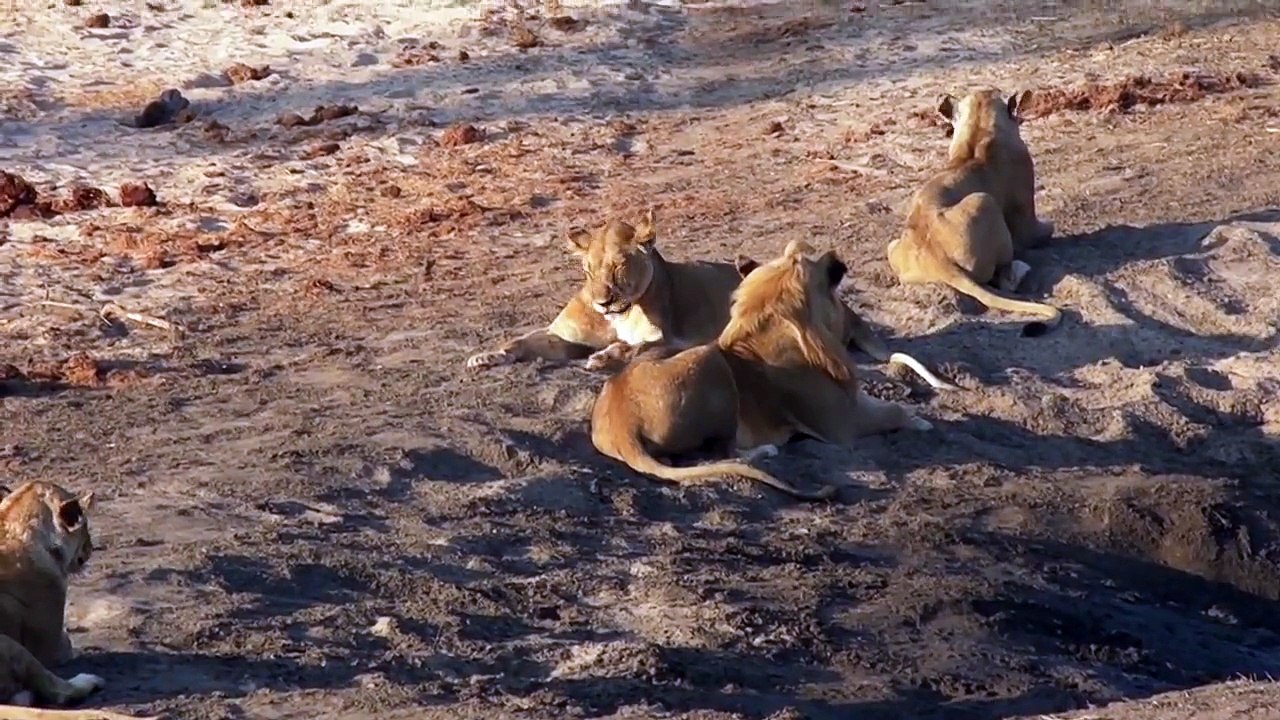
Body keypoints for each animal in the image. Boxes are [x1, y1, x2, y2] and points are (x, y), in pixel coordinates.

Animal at [0, 482, 151, 720]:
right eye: (85, 526)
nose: (91, 548)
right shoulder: (49, 645)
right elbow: (66, 645)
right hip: (9, 644)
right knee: (59, 692)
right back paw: (89, 680)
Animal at [467, 210, 956, 389]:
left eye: (620, 267)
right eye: (588, 270)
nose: (602, 300)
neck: (617, 316)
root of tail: (850, 314)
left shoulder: (672, 338)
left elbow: (636, 347)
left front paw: (606, 357)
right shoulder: (564, 336)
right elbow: (521, 342)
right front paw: (484, 357)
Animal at [589, 240, 934, 501]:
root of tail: (621, 426)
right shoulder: (842, 425)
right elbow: (896, 412)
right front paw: (921, 422)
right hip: (710, 362)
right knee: (723, 452)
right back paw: (767, 450)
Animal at [886, 87, 1061, 336]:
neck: (979, 133)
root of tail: (938, 260)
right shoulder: (1027, 220)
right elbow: (1043, 230)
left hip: (893, 246)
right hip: (984, 201)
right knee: (1005, 277)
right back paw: (1021, 269)